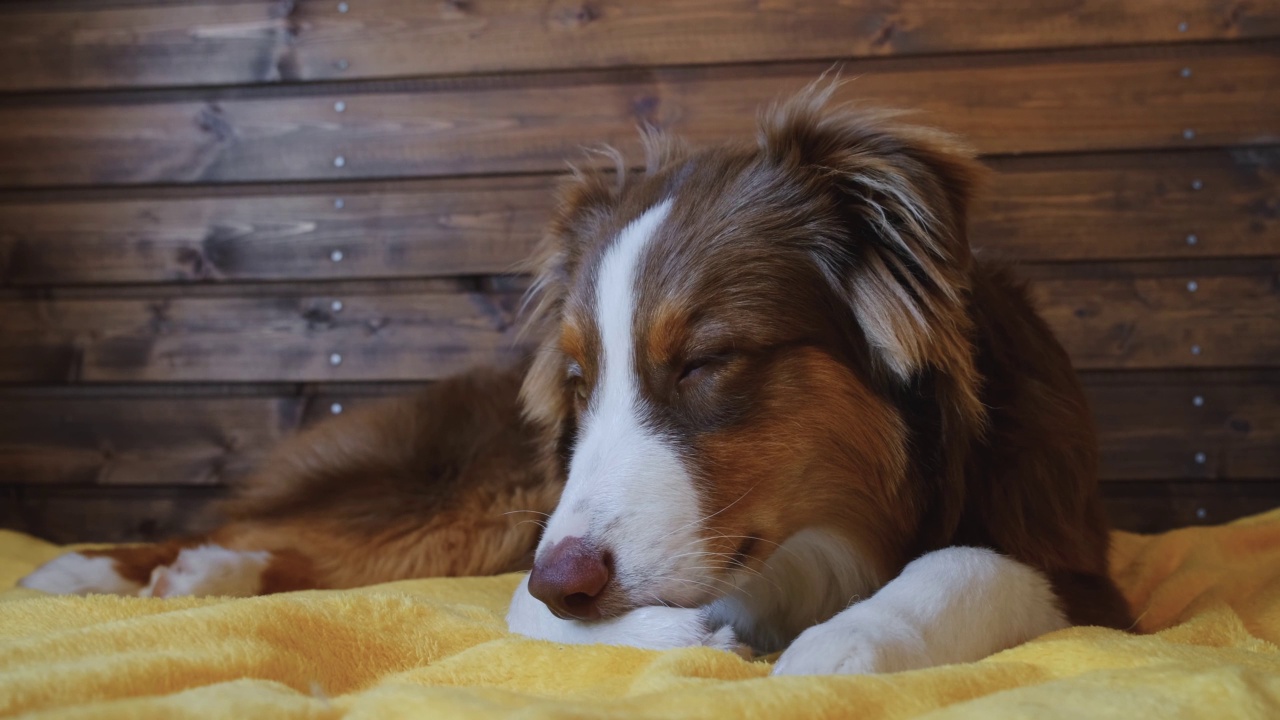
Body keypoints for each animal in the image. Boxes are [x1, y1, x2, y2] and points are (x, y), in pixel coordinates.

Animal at [20, 83, 1131, 671]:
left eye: (706, 362)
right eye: (578, 378)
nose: (566, 581)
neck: (829, 538)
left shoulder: (1080, 569)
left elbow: (967, 565)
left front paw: (839, 646)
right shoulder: (528, 570)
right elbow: (600, 623)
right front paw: (698, 635)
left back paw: (199, 577)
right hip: (479, 496)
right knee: (287, 530)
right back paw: (102, 571)